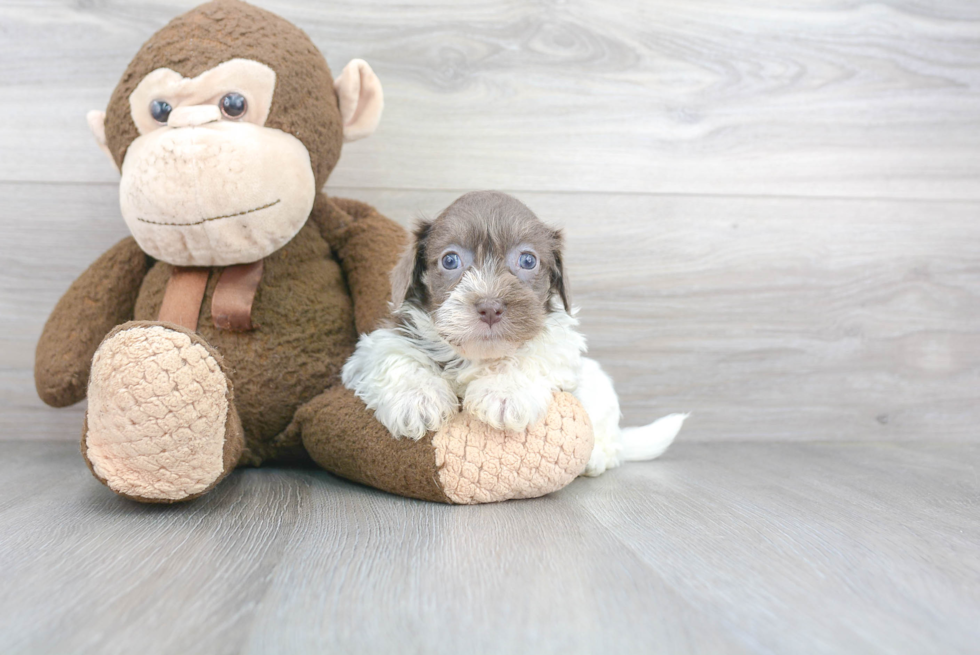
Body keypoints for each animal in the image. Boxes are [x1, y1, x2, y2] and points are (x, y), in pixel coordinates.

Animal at [340, 190, 684, 476]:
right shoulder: (382, 341)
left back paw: (597, 456)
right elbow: (393, 354)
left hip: (600, 390)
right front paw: (418, 398)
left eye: (528, 260)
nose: (490, 307)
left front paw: (503, 391)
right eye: (450, 260)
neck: (477, 356)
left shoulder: (560, 346)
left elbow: (532, 355)